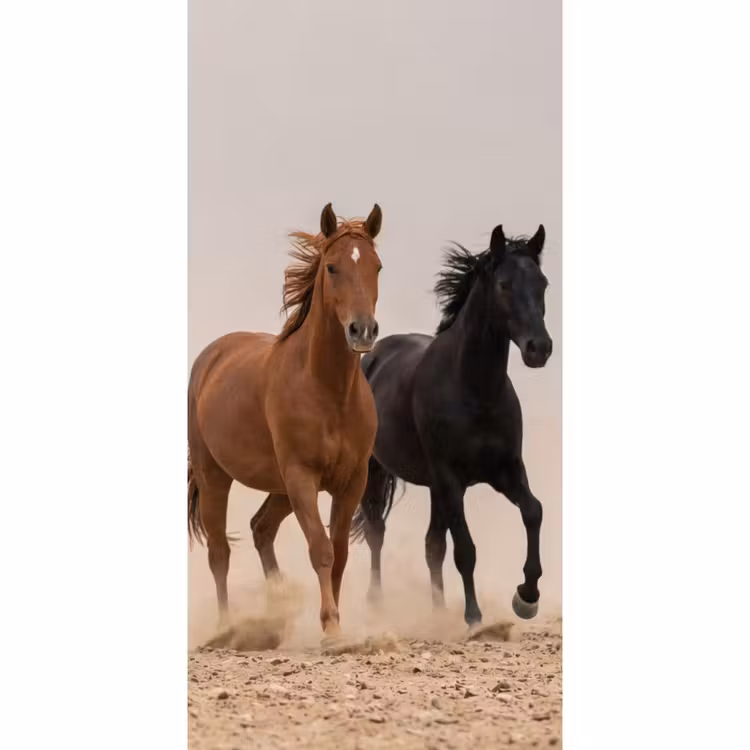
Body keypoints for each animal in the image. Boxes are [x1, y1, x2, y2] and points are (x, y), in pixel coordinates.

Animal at [188, 203, 384, 638]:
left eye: (377, 266)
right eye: (332, 267)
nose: (362, 330)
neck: (328, 391)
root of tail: (211, 356)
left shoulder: (352, 481)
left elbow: (340, 552)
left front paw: (337, 626)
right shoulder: (301, 477)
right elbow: (321, 550)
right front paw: (331, 629)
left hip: (278, 488)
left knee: (261, 528)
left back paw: (276, 608)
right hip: (215, 477)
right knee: (219, 551)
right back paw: (227, 627)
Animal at [350, 223, 552, 627]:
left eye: (543, 283)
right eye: (504, 284)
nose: (539, 348)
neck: (475, 393)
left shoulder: (506, 471)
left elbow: (533, 511)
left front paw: (527, 597)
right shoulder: (451, 479)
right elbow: (465, 548)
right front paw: (473, 617)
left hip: (432, 487)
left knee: (432, 545)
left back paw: (438, 610)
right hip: (377, 471)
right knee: (378, 531)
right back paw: (378, 604)